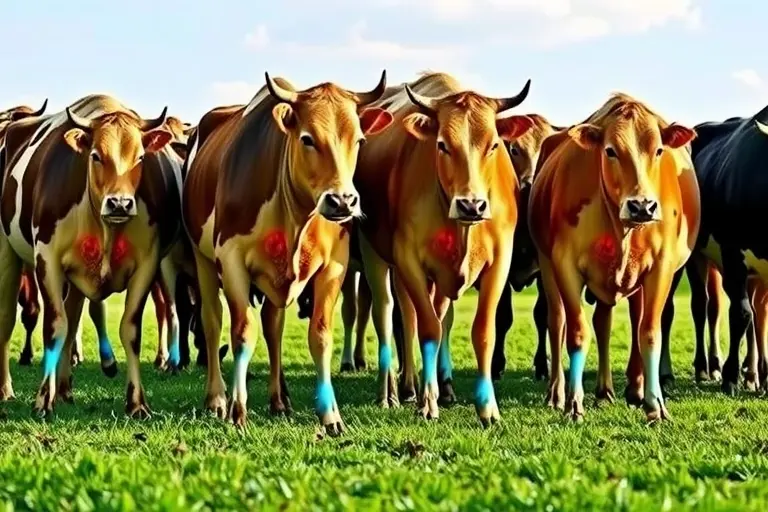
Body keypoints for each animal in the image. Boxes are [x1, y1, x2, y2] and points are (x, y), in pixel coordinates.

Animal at [0, 94, 183, 417]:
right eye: (96, 156)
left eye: (140, 158)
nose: (120, 203)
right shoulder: (46, 260)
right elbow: (54, 327)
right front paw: (42, 400)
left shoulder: (147, 264)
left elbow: (130, 330)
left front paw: (137, 402)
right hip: (8, 253)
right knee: (8, 318)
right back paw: (7, 389)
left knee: (73, 318)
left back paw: (64, 389)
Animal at [182, 71, 393, 431]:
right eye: (307, 139)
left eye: (360, 141)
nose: (342, 201)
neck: (293, 213)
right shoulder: (232, 260)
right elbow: (242, 332)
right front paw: (238, 410)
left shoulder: (334, 267)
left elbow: (320, 336)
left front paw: (330, 414)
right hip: (204, 260)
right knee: (212, 322)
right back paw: (217, 398)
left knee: (273, 325)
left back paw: (280, 399)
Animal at [354, 71, 533, 426]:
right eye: (442, 145)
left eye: (494, 145)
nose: (472, 205)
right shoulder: (408, 259)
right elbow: (427, 330)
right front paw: (428, 403)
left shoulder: (499, 263)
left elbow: (482, 331)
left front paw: (487, 408)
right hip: (375, 254)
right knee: (387, 313)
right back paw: (392, 392)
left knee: (420, 314)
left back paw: (425, 386)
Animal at [529, 92, 699, 423]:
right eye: (610, 151)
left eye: (659, 150)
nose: (642, 206)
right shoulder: (565, 265)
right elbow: (576, 332)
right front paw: (573, 403)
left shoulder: (661, 267)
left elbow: (649, 331)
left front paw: (655, 405)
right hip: (546, 264)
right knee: (558, 321)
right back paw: (558, 393)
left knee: (617, 320)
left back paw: (625, 389)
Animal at [657, 107, 768, 397]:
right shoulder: (732, 256)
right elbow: (741, 313)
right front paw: (731, 377)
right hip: (685, 256)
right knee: (679, 308)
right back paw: (672, 373)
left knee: (710, 306)